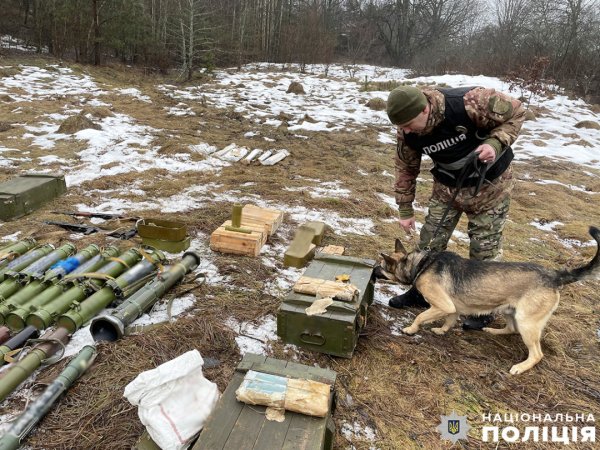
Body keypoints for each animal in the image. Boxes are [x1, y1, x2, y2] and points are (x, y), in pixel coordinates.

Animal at [380, 227, 600, 374]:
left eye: (381, 267)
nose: (374, 270)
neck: (422, 263)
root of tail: (555, 275)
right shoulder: (452, 307)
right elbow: (450, 320)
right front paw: (442, 330)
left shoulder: (442, 304)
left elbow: (420, 316)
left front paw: (410, 329)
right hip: (511, 312)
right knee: (511, 329)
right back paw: (492, 331)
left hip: (527, 322)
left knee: (537, 354)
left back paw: (520, 367)